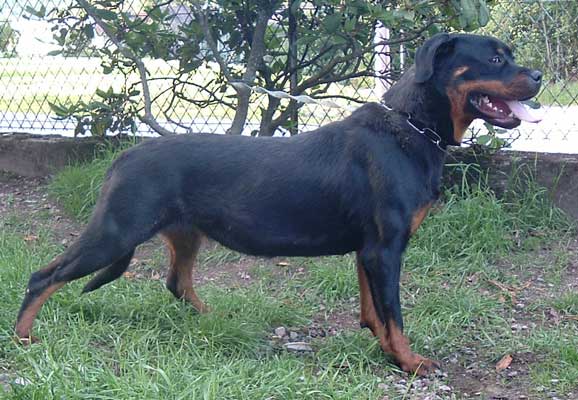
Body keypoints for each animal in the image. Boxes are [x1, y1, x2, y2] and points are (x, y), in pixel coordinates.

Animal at [14, 33, 540, 376]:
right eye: (495, 58)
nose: (537, 76)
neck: (412, 125)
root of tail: (123, 156)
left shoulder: (368, 249)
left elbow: (373, 308)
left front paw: (381, 346)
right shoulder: (386, 247)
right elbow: (394, 313)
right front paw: (408, 361)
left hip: (183, 233)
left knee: (177, 283)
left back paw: (217, 320)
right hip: (115, 231)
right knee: (43, 277)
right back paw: (23, 337)